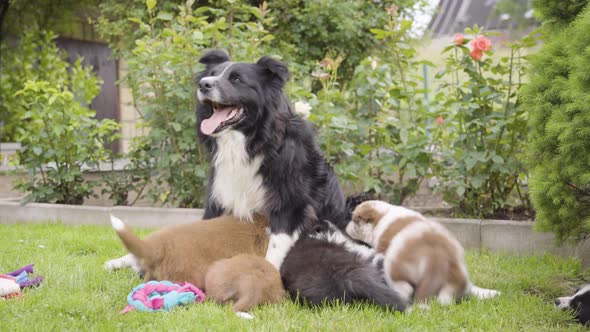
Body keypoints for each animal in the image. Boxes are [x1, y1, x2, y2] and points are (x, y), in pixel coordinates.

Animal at [197, 50, 350, 268]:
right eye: (212, 74)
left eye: (237, 79)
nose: (203, 84)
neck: (252, 142)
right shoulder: (220, 191)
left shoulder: (291, 202)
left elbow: (275, 248)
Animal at [346, 200, 500, 306]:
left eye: (355, 221)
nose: (346, 226)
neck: (382, 217)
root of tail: (438, 255)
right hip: (456, 273)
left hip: (396, 263)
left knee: (405, 287)